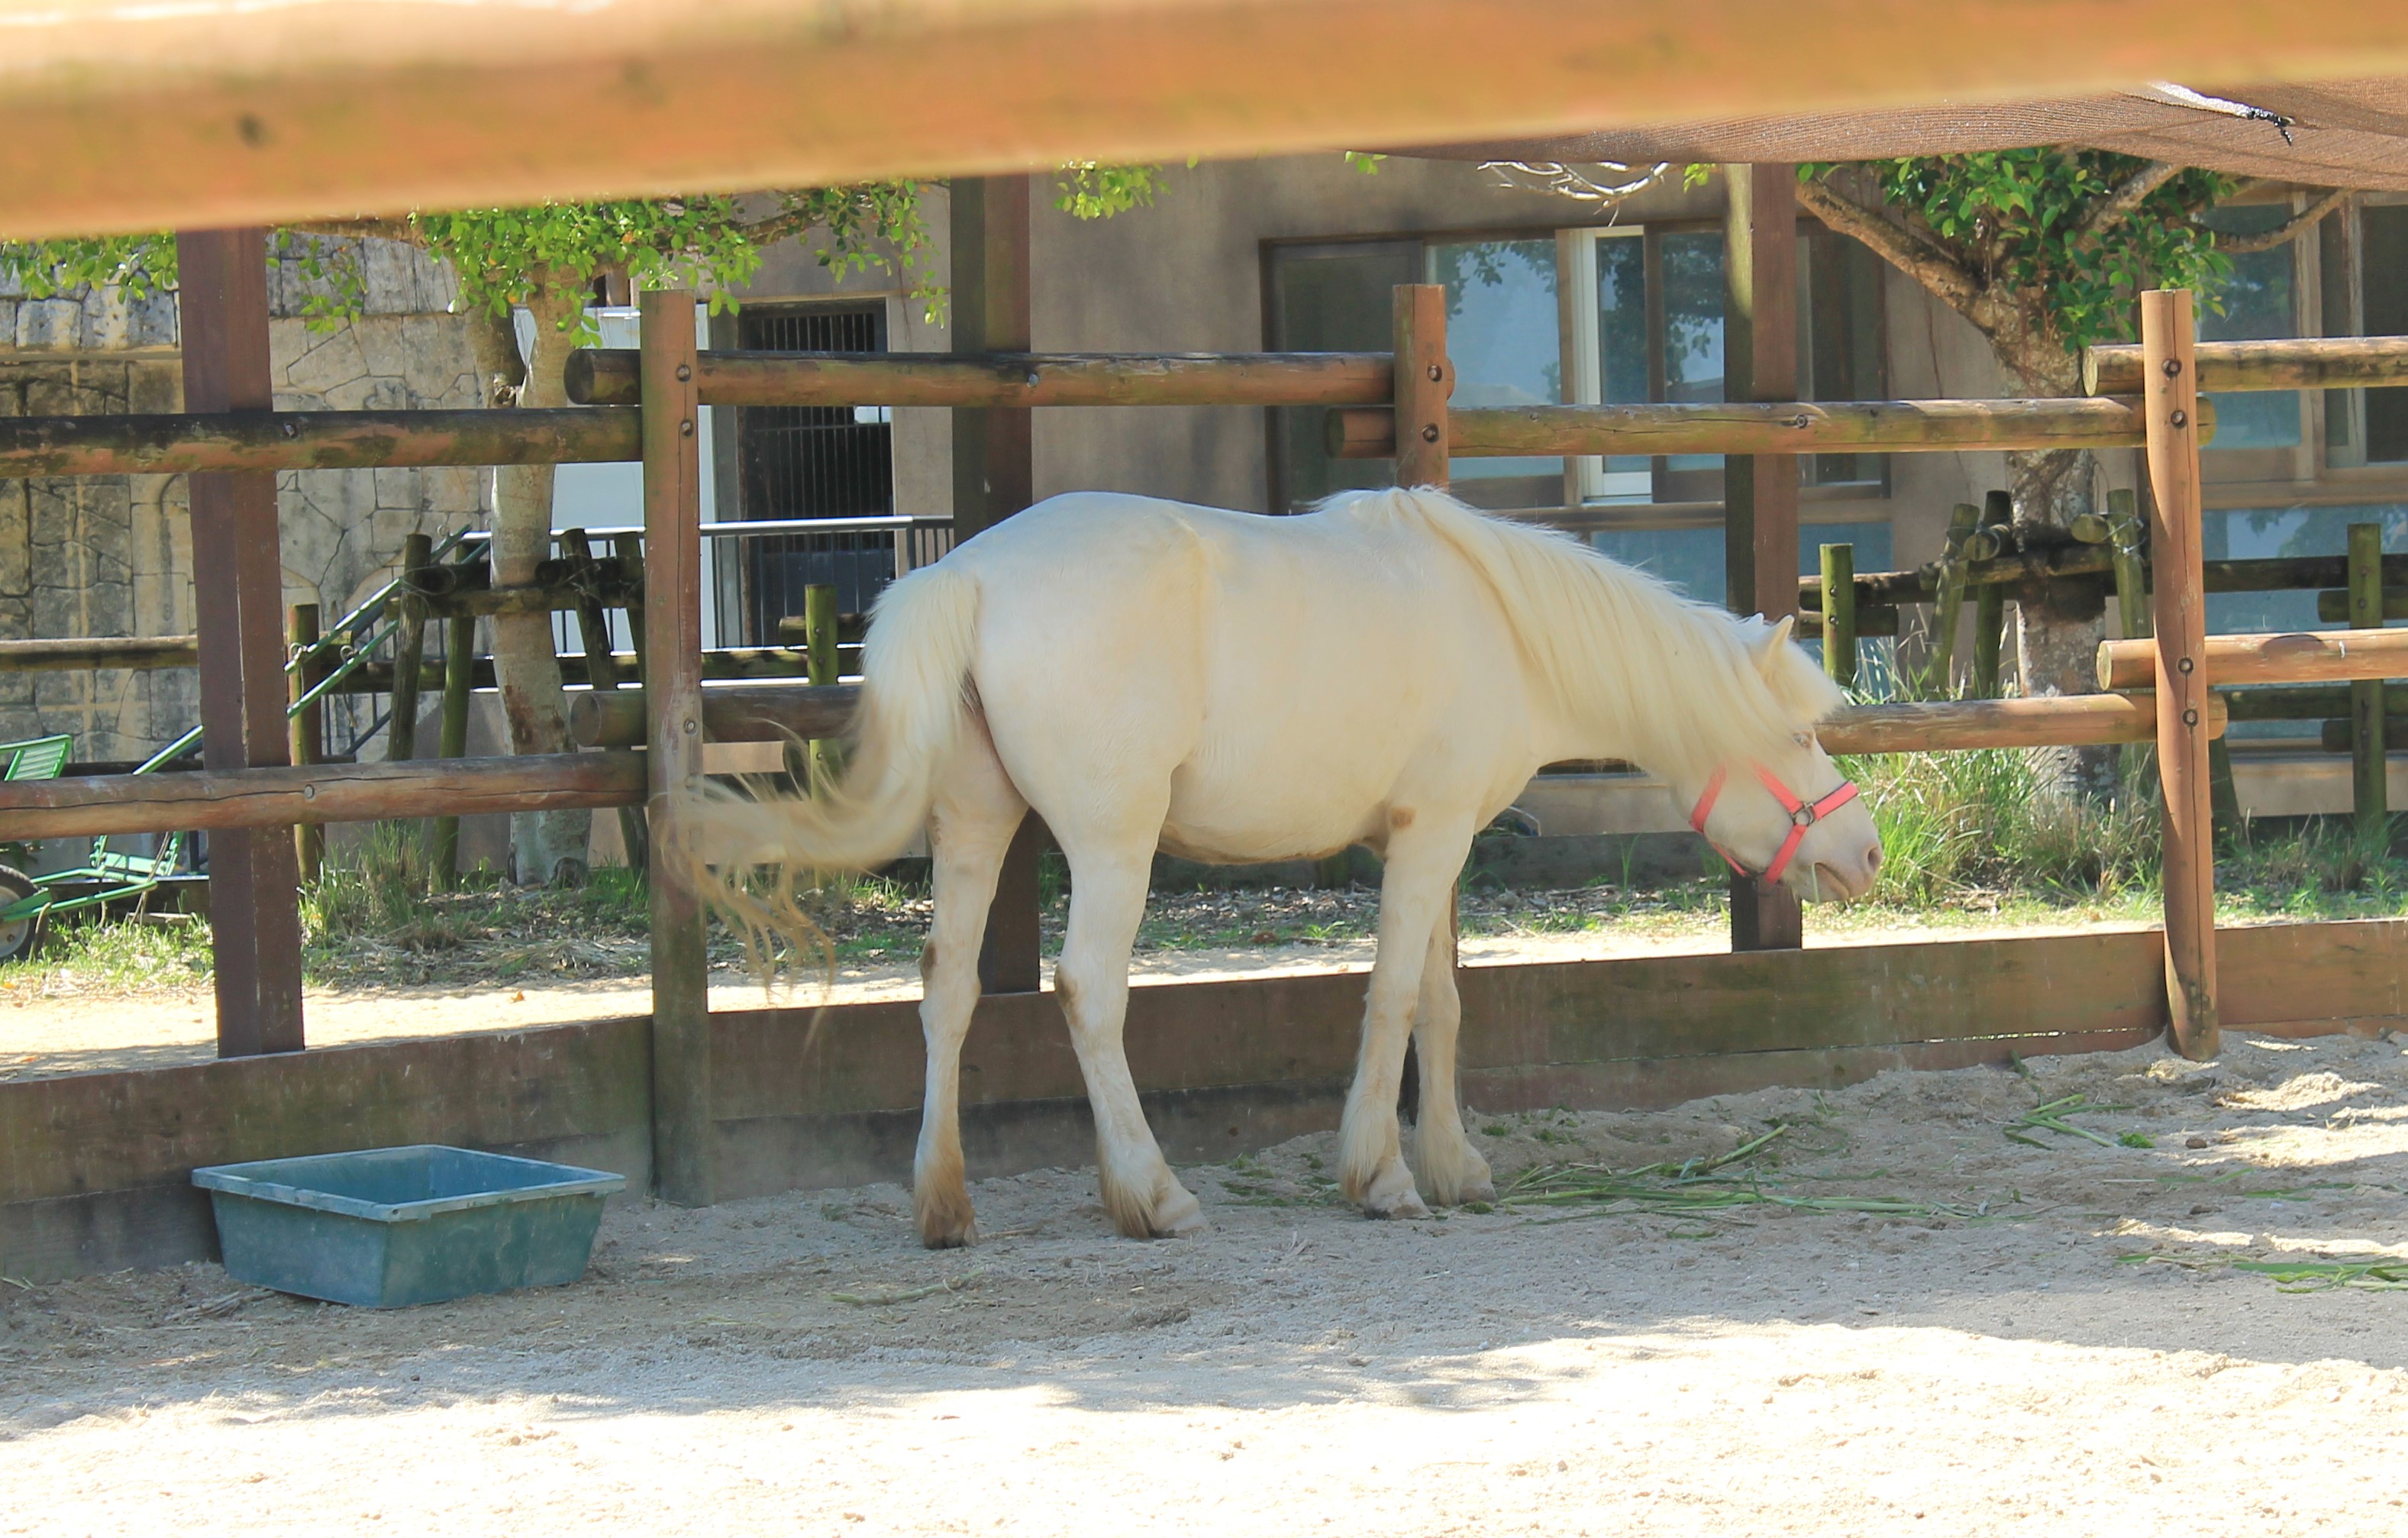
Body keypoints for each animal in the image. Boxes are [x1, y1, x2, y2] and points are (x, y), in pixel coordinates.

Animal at [678, 487, 1882, 1247]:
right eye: (1794, 736)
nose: (1864, 852)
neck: (1505, 627)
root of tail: (969, 573)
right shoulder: (1431, 836)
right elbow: (1394, 998)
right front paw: (1383, 1178)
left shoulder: (1427, 842)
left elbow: (1441, 1002)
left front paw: (1454, 1168)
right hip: (1112, 844)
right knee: (1088, 992)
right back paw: (1152, 1195)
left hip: (976, 825)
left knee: (946, 991)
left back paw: (945, 1208)